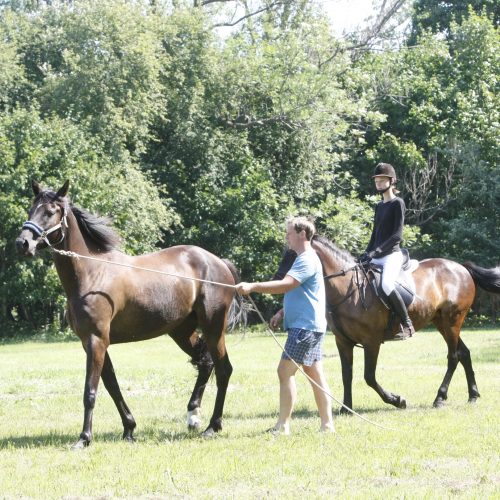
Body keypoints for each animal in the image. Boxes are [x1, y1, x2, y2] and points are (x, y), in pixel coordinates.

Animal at [16, 182, 239, 448]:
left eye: (50, 212)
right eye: (31, 209)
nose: (23, 243)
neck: (92, 273)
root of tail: (219, 262)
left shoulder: (97, 340)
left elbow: (90, 391)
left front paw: (84, 438)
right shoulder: (91, 342)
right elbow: (111, 385)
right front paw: (129, 428)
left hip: (213, 328)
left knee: (224, 370)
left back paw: (212, 426)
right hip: (182, 331)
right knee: (205, 363)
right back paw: (193, 415)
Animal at [310, 234, 498, 414]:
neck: (348, 289)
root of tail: (461, 268)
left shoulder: (371, 342)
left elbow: (369, 376)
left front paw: (397, 400)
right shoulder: (343, 341)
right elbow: (346, 374)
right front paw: (346, 408)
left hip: (452, 321)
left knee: (454, 356)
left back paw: (439, 397)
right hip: (442, 323)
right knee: (464, 353)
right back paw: (473, 395)